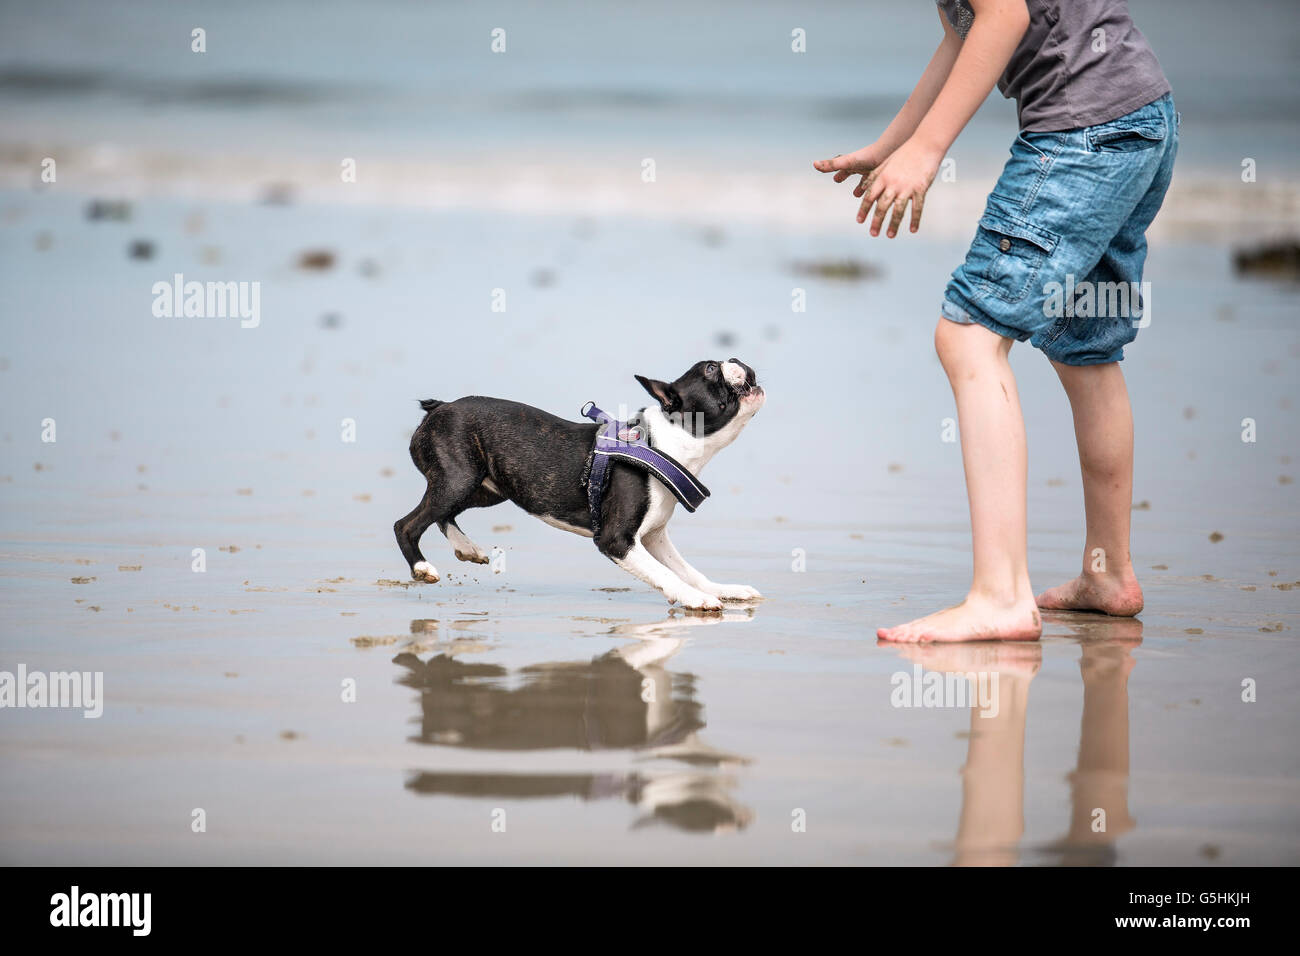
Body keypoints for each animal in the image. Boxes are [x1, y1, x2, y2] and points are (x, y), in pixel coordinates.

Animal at [395, 358, 759, 613]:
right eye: (710, 369)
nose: (735, 359)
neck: (662, 443)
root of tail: (439, 407)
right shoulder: (616, 540)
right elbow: (667, 574)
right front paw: (696, 599)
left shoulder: (654, 537)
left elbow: (687, 569)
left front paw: (721, 589)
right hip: (459, 479)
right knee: (408, 524)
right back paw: (423, 566)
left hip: (487, 488)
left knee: (443, 513)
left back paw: (467, 547)